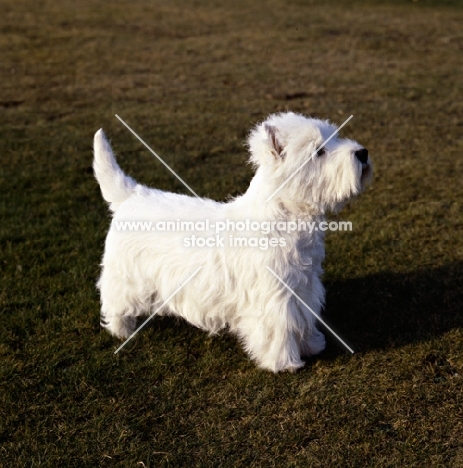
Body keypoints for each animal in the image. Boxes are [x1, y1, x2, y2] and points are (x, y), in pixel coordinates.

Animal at [94, 111, 374, 372]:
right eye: (319, 151)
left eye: (335, 138)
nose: (363, 152)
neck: (288, 217)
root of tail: (131, 195)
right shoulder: (274, 296)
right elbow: (279, 329)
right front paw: (284, 363)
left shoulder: (303, 286)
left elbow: (302, 319)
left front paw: (312, 345)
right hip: (126, 276)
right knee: (114, 302)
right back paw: (122, 331)